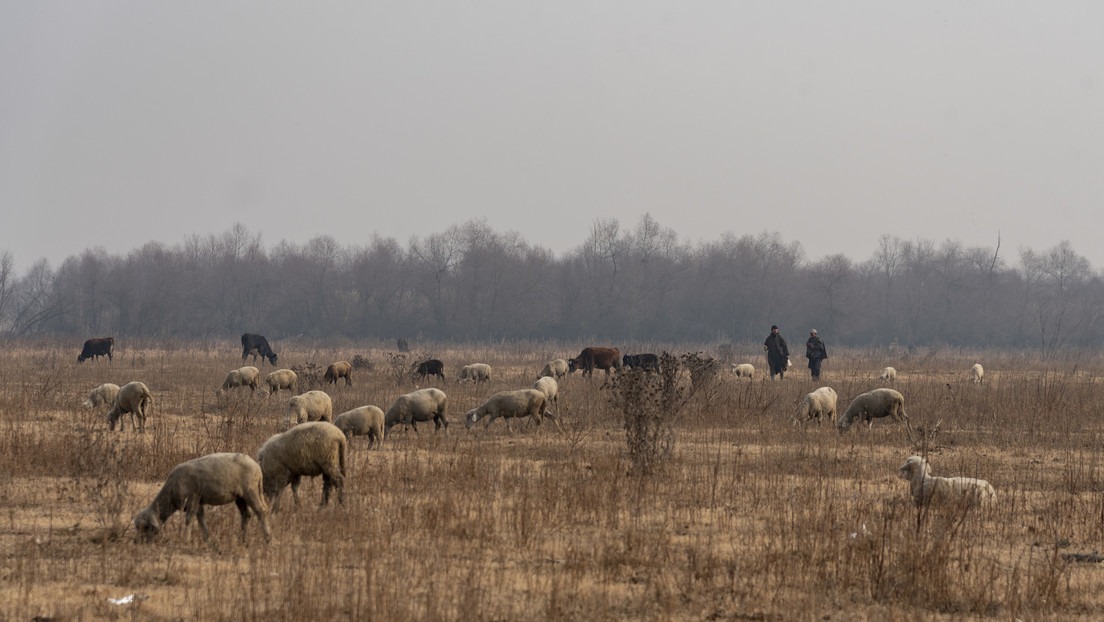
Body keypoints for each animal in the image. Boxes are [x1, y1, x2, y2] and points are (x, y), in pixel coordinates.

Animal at [132, 452, 270, 545]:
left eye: (145, 527)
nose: (138, 543)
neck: (170, 494)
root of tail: (257, 467)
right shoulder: (198, 501)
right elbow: (201, 519)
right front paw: (207, 539)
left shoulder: (193, 498)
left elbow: (189, 519)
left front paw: (185, 541)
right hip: (240, 496)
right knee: (246, 515)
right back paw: (243, 540)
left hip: (251, 491)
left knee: (261, 511)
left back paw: (268, 538)